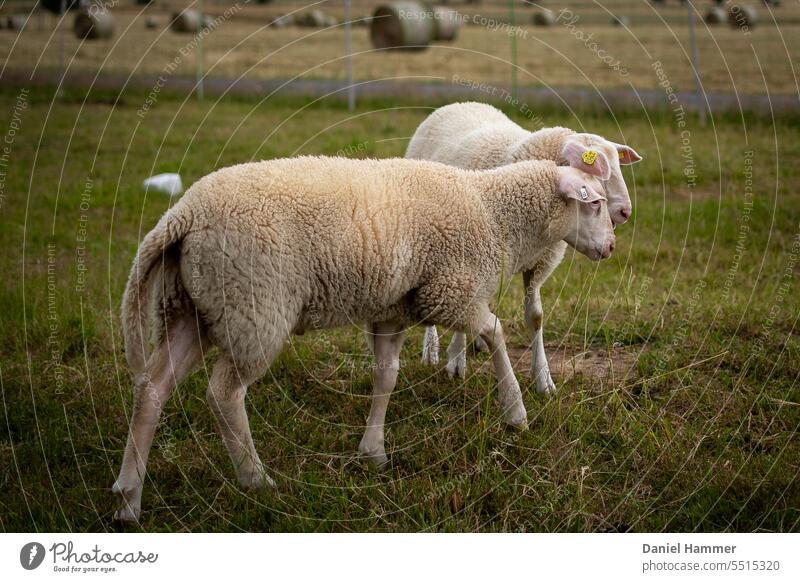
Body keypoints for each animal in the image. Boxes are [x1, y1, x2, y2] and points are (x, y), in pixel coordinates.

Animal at [406, 101, 644, 392]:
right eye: (598, 169)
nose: (625, 212)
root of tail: (461, 103)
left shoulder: (538, 263)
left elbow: (536, 317)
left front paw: (543, 379)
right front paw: (456, 361)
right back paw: (431, 349)